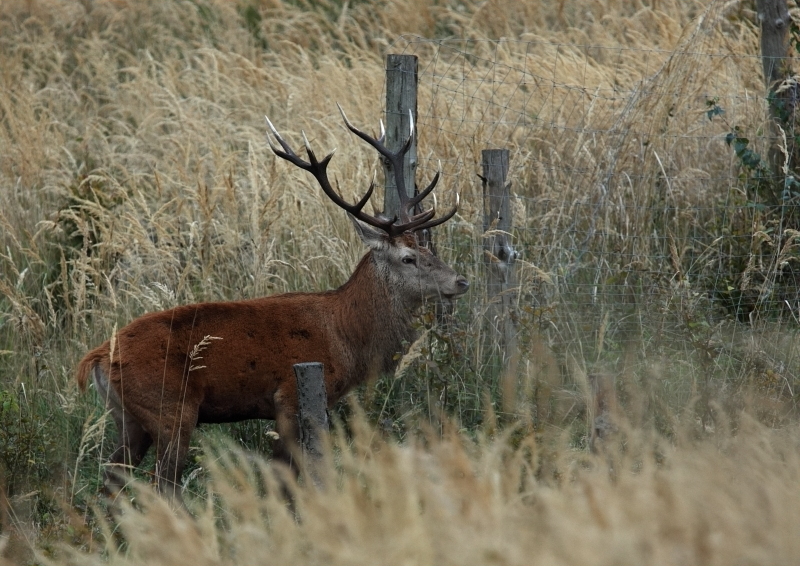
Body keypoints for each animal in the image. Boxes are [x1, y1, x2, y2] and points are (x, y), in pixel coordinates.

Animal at [75, 106, 468, 502]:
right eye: (407, 258)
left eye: (427, 249)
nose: (460, 281)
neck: (346, 337)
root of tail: (97, 357)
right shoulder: (290, 398)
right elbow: (282, 480)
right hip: (170, 408)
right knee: (162, 486)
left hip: (127, 417)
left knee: (109, 485)